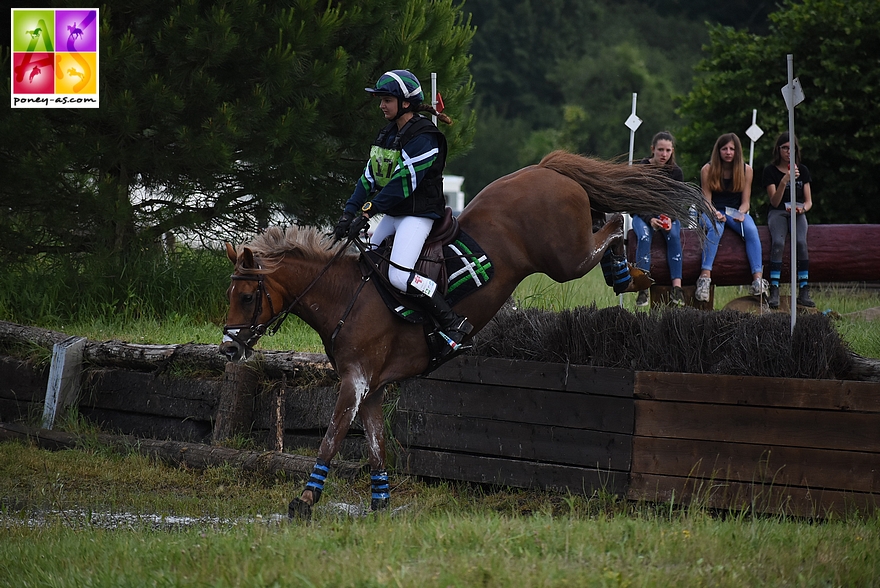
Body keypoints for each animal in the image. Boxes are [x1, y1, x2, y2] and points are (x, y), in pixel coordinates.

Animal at [220, 152, 708, 520]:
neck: (344, 297)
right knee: (606, 217)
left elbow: (331, 437)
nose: (228, 348)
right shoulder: (372, 389)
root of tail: (546, 168)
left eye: (245, 296)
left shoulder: (354, 383)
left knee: (616, 221)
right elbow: (376, 448)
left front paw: (305, 499)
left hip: (565, 259)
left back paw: (628, 272)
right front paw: (380, 504)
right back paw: (625, 273)